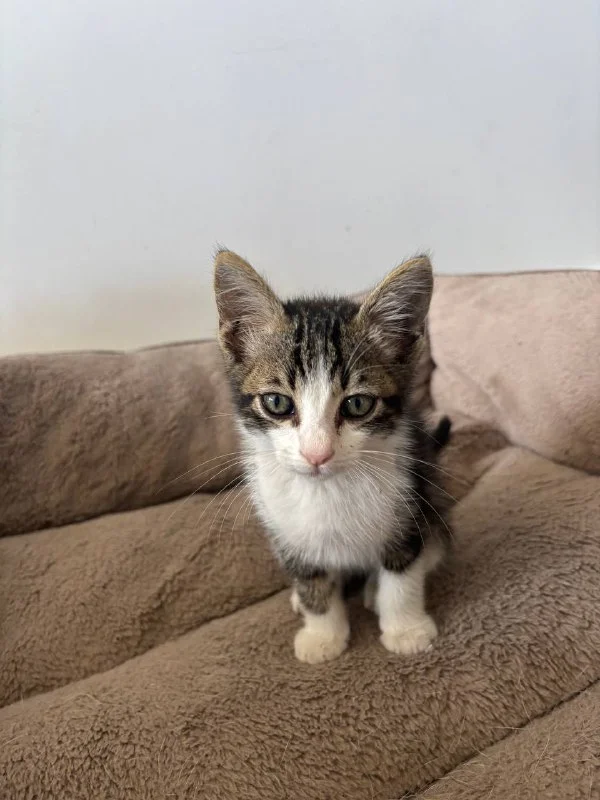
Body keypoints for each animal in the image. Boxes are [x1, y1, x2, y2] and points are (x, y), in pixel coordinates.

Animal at [214, 250, 452, 664]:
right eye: (276, 402)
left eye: (357, 405)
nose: (316, 453)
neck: (327, 491)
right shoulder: (285, 529)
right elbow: (312, 580)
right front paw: (322, 636)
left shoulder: (410, 505)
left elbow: (402, 571)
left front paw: (405, 629)